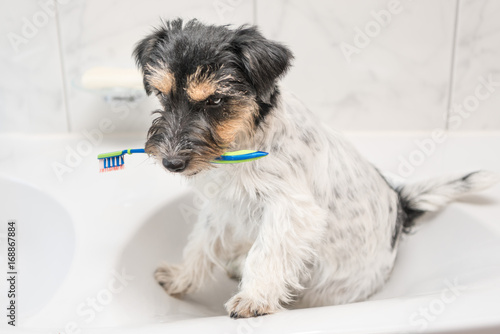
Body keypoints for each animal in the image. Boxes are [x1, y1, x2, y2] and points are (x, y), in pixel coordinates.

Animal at [133, 18, 500, 318]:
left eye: (215, 100)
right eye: (162, 95)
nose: (171, 163)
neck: (243, 142)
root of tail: (401, 205)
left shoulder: (290, 208)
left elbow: (266, 252)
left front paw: (254, 298)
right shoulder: (223, 207)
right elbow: (201, 245)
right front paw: (180, 277)